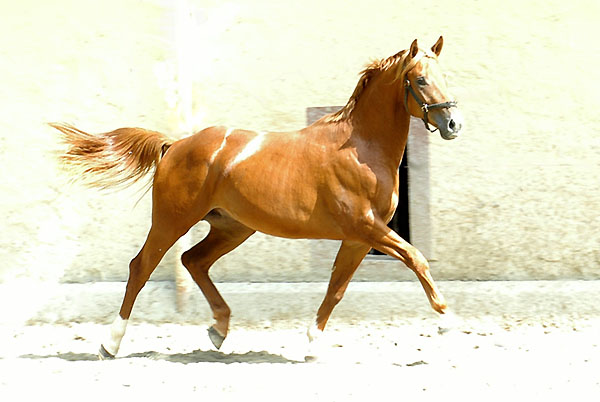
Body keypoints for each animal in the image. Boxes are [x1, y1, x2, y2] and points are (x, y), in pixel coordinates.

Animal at [51, 37, 464, 358]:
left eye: (445, 77)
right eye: (420, 79)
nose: (453, 124)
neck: (360, 147)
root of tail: (174, 145)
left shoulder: (358, 238)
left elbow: (336, 289)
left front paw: (311, 345)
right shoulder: (367, 228)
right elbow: (416, 259)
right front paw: (449, 323)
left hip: (232, 227)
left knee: (193, 260)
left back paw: (218, 329)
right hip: (172, 221)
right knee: (142, 267)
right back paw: (110, 344)